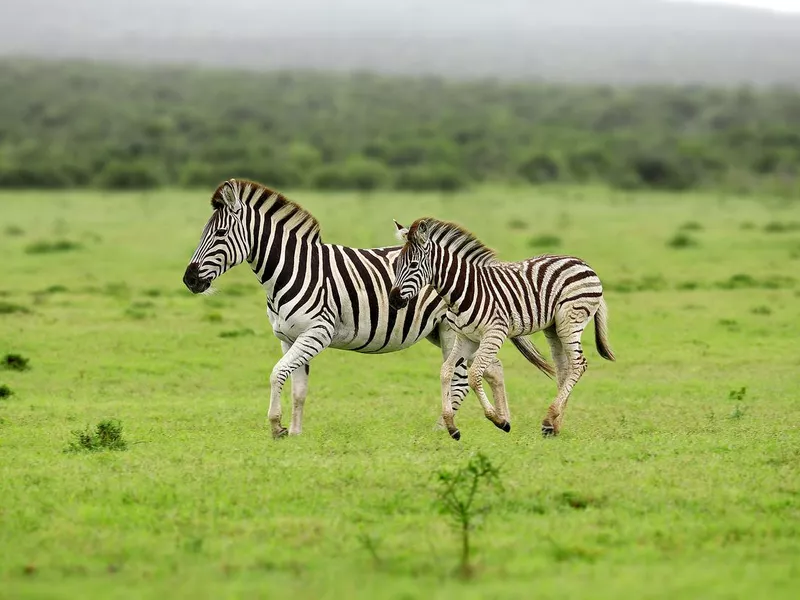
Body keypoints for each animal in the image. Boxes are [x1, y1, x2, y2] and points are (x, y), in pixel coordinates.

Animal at [184, 178, 552, 436]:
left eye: (219, 233)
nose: (189, 280)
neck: (291, 270)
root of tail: (480, 267)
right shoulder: (289, 338)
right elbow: (297, 387)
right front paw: (297, 433)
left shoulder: (316, 332)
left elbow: (277, 373)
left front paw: (276, 427)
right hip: (455, 331)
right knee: (493, 368)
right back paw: (500, 418)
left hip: (452, 330)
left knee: (461, 377)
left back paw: (441, 428)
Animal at [390, 218, 616, 438]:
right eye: (397, 264)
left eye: (413, 264)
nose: (393, 300)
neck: (462, 291)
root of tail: (582, 263)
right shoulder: (465, 337)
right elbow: (446, 371)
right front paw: (451, 426)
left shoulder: (494, 333)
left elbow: (474, 376)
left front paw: (499, 421)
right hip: (553, 327)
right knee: (564, 368)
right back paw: (553, 425)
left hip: (570, 320)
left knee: (578, 364)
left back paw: (549, 417)